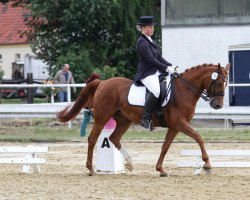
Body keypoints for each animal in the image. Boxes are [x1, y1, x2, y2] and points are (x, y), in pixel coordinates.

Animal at [57, 63, 230, 176]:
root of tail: (102, 82)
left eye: (226, 83)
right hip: (102, 118)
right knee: (92, 139)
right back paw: (91, 169)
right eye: (218, 82)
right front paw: (207, 165)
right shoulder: (180, 123)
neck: (183, 90)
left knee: (114, 138)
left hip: (124, 120)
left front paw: (160, 169)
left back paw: (129, 163)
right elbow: (199, 137)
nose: (218, 105)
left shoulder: (174, 127)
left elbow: (165, 146)